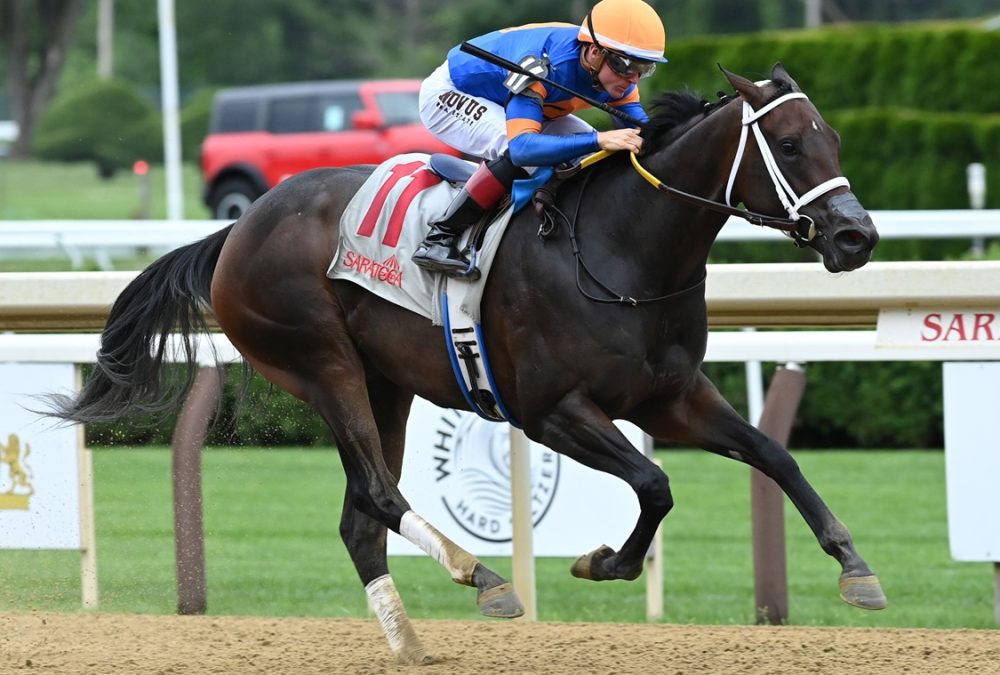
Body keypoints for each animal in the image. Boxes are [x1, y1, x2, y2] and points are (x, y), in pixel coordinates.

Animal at [50, 64, 880, 664]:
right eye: (792, 145)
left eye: (837, 138)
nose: (856, 238)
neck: (624, 247)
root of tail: (240, 225)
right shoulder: (551, 410)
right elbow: (654, 482)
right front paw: (603, 561)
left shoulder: (670, 394)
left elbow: (772, 453)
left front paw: (854, 566)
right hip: (321, 363)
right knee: (379, 494)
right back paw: (479, 575)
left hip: (384, 384)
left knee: (360, 518)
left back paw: (411, 641)